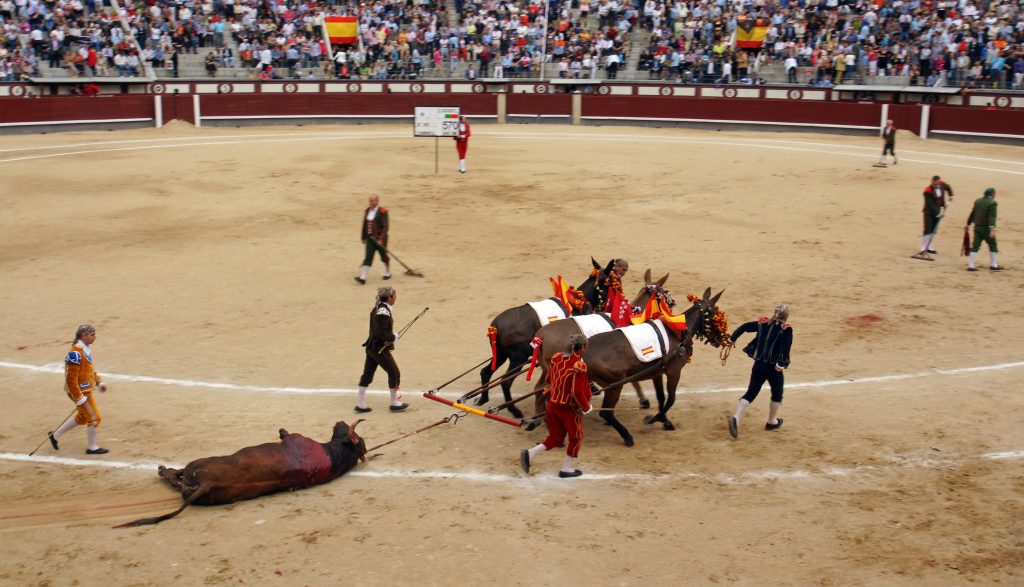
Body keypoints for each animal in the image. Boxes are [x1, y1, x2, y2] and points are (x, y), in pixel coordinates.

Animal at [117, 417, 366, 528]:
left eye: (347, 430)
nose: (340, 421)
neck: (332, 455)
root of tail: (207, 484)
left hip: (196, 466)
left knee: (176, 477)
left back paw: (162, 470)